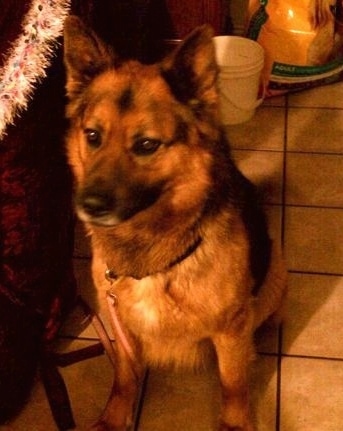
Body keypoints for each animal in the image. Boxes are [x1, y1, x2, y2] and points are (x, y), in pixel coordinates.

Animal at [63, 15, 288, 430]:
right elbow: (124, 373)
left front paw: (236, 423)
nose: (88, 206)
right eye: (93, 136)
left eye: (146, 145)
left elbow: (234, 385)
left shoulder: (230, 331)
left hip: (275, 271)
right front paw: (115, 415)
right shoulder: (120, 321)